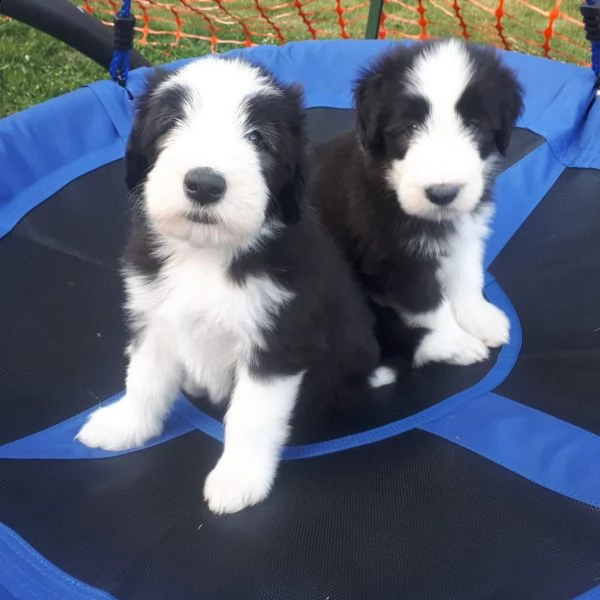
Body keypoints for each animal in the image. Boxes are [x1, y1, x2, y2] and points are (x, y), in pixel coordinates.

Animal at [76, 56, 390, 512]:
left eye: (258, 138)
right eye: (171, 123)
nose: (204, 184)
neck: (206, 255)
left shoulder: (277, 342)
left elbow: (251, 416)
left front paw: (238, 479)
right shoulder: (155, 316)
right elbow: (144, 379)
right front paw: (126, 425)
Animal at [308, 38, 524, 366]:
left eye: (475, 126)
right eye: (409, 128)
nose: (443, 194)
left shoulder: (465, 229)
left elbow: (467, 274)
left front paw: (480, 319)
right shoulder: (397, 259)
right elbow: (430, 306)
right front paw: (459, 342)